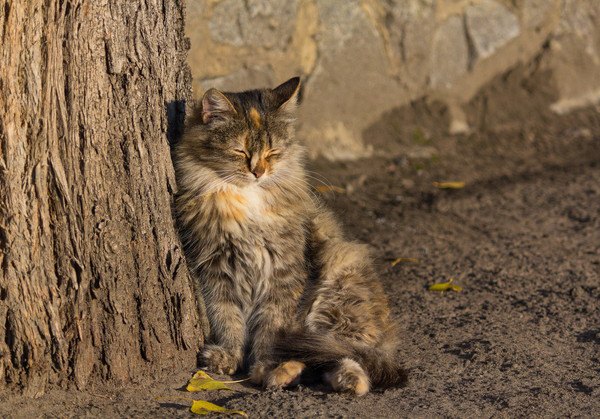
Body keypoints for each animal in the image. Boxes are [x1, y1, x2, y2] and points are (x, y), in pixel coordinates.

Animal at [176, 77, 406, 396]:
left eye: (272, 153)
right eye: (240, 152)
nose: (258, 172)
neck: (247, 201)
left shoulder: (282, 274)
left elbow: (269, 332)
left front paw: (264, 368)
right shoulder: (216, 271)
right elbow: (228, 320)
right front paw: (228, 357)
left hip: (334, 294)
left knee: (348, 355)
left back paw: (326, 378)